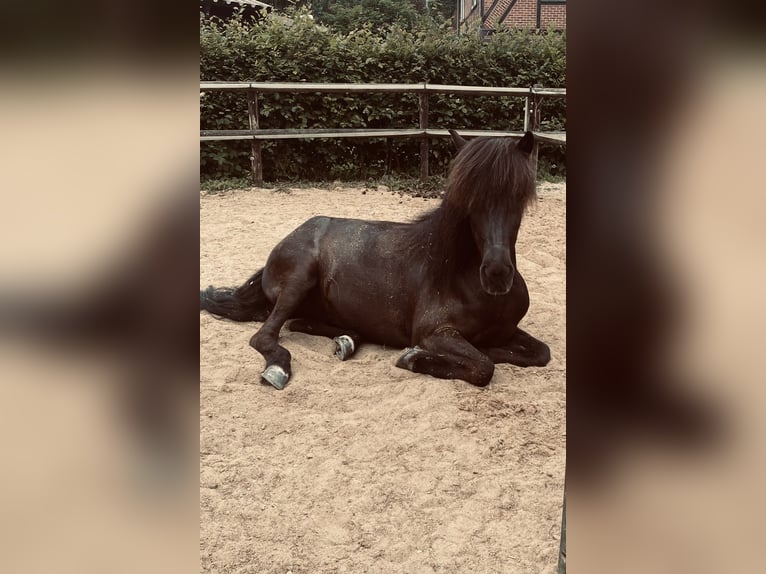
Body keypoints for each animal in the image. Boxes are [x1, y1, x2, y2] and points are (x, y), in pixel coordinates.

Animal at [202, 132, 552, 392]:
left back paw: (346, 341)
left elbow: (539, 354)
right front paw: (414, 357)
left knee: (303, 323)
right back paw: (278, 367)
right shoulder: (434, 331)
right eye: (468, 199)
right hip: (300, 278)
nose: (496, 274)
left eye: (518, 196)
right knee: (266, 335)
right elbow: (483, 366)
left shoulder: (508, 331)